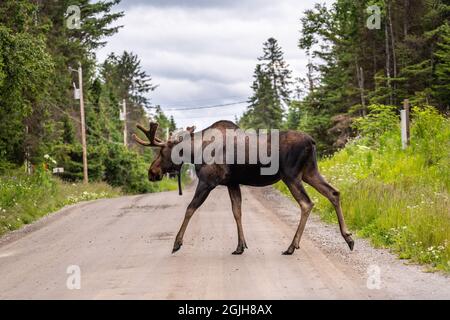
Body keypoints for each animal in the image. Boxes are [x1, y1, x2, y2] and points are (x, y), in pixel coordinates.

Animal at [134, 120, 356, 255]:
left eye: (162, 151)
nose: (151, 172)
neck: (195, 152)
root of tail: (312, 141)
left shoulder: (208, 181)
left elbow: (190, 209)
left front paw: (177, 243)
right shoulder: (232, 183)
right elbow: (237, 211)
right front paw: (240, 246)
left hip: (291, 175)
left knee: (307, 203)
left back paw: (292, 246)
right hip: (309, 172)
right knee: (333, 192)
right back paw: (348, 238)